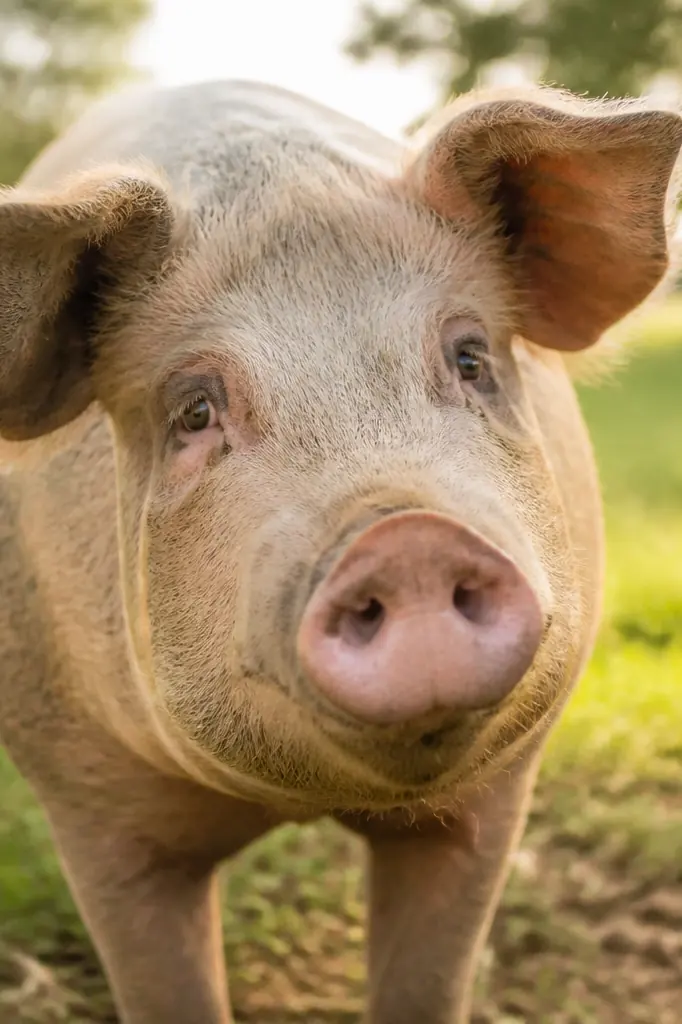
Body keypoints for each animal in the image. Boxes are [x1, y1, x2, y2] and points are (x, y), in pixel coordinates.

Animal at [0, 77, 679, 1024]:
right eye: (195, 411)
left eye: (470, 358)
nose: (407, 538)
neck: (297, 799)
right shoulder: (86, 795)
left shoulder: (498, 791)